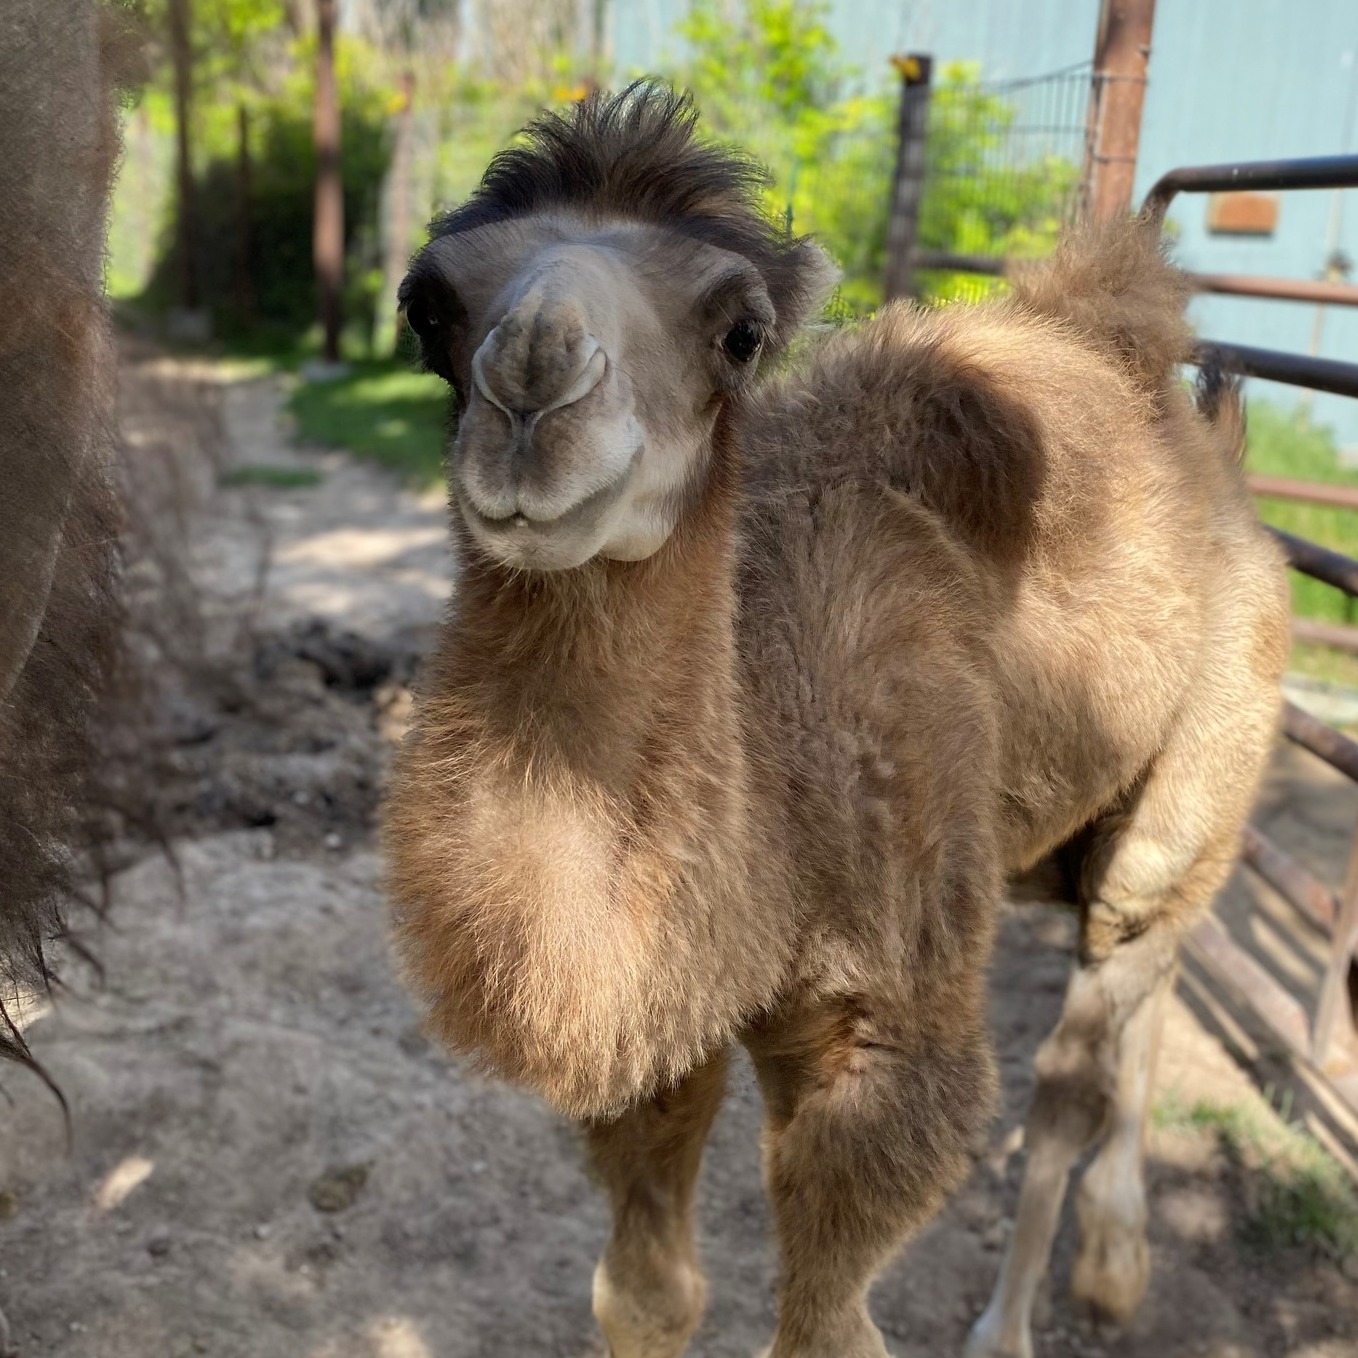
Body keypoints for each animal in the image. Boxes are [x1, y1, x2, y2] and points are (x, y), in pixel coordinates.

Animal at [384, 84, 1291, 1358]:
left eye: (738, 331)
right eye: (428, 306)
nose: (531, 379)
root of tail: (1220, 469)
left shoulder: (890, 1034)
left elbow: (829, 1323)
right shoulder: (665, 1025)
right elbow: (647, 1293)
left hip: (1212, 741)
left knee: (1085, 1038)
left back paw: (1012, 1319)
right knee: (1145, 986)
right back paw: (1113, 1268)